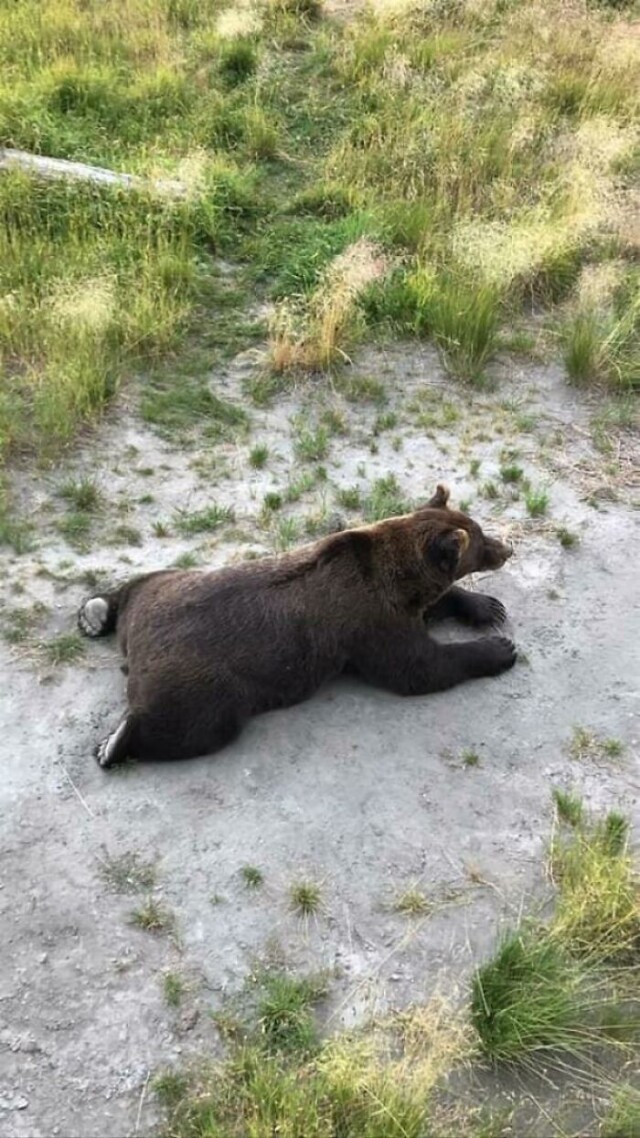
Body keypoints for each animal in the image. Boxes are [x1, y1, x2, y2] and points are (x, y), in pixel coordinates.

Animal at [77, 484, 514, 769]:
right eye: (480, 541)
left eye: (478, 528)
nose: (507, 547)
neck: (399, 579)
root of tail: (137, 651)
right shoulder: (369, 620)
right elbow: (419, 667)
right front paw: (499, 649)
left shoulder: (398, 604)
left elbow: (437, 606)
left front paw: (486, 607)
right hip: (204, 683)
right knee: (195, 725)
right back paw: (113, 743)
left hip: (169, 589)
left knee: (146, 581)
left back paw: (96, 611)